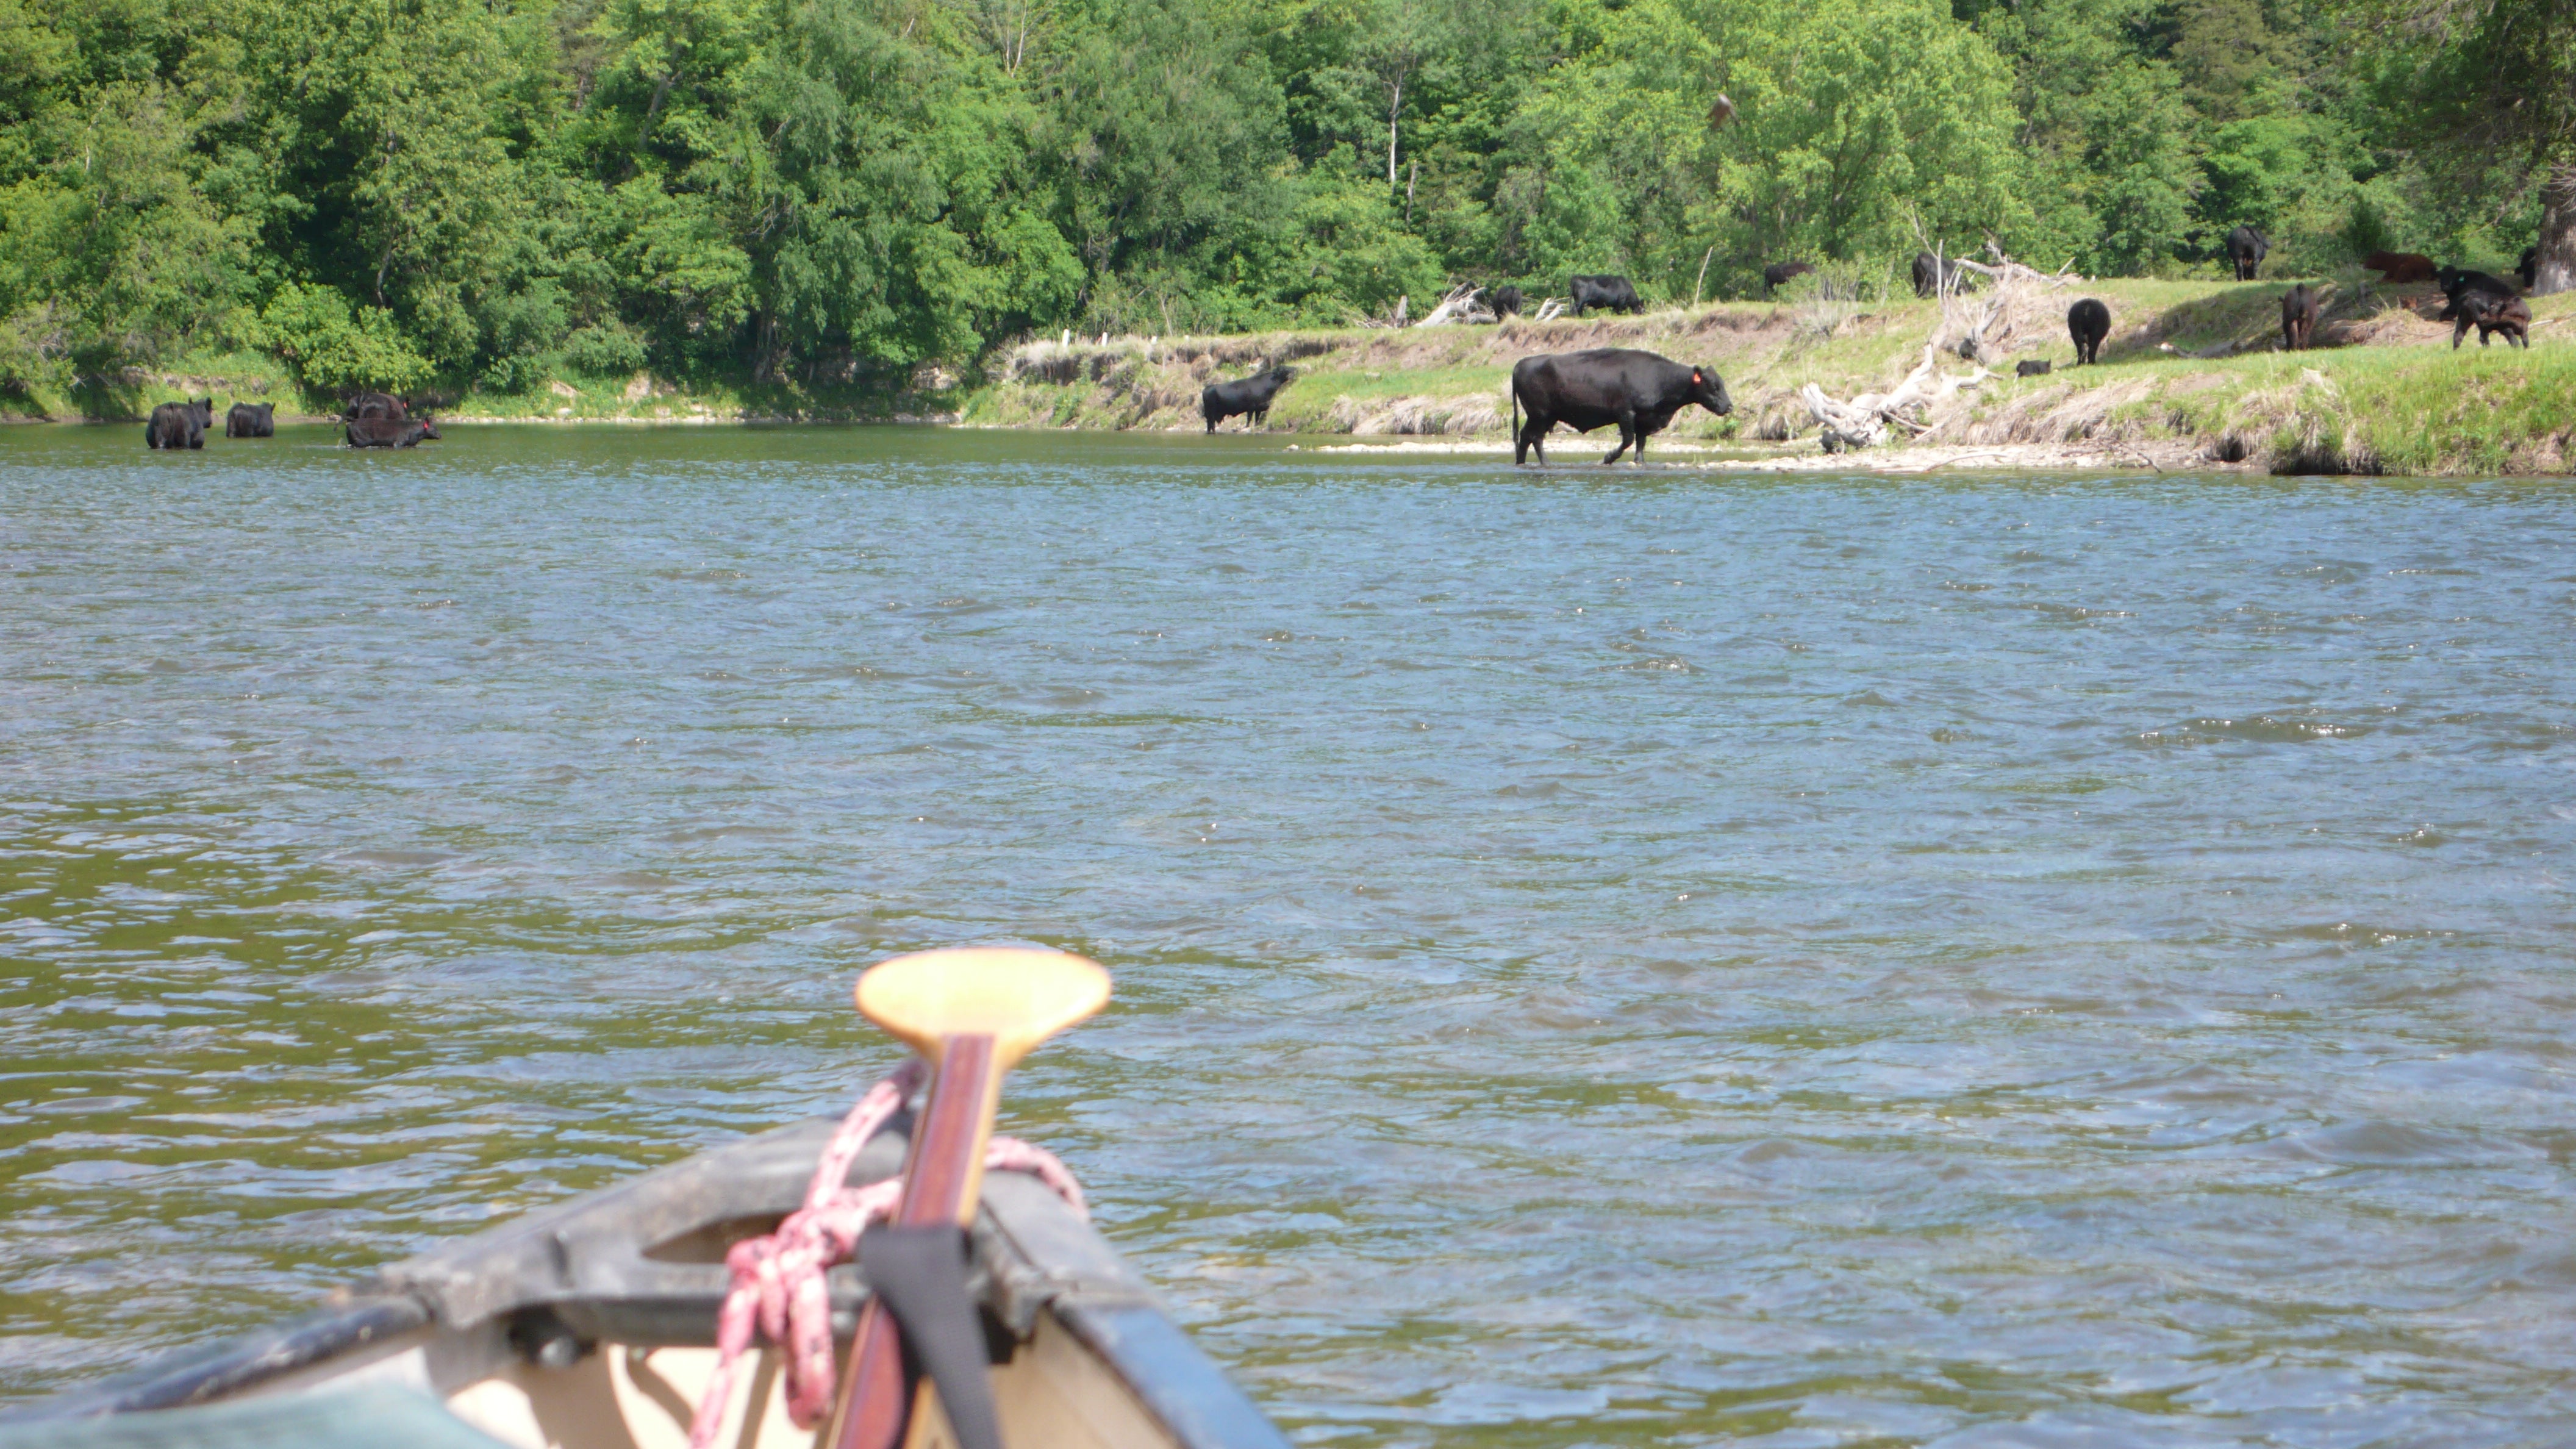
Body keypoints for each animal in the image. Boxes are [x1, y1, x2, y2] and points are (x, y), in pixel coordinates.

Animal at [345, 412, 440, 446]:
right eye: (434, 428)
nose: (440, 435)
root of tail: (350, 422)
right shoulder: (398, 442)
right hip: (362, 440)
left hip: (351, 440)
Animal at [1200, 366, 1298, 428]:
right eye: (1285, 369)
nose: (1296, 369)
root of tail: (1207, 388)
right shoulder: (1251, 408)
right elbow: (1249, 420)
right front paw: (1247, 427)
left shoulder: (1259, 408)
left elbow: (1256, 419)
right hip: (1210, 414)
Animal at [1504, 345, 1731, 461]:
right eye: (1714, 386)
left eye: (1722, 383)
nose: (1729, 406)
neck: (1659, 377)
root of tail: (1521, 363)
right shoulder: (1626, 414)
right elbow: (1628, 441)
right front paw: (1607, 457)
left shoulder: (1644, 421)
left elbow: (1640, 445)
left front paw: (1639, 462)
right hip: (1540, 415)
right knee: (1534, 438)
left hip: (1545, 417)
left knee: (1527, 438)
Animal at [1556, 273, 1638, 315]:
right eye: (1641, 307)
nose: (1640, 313)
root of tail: (1576, 277)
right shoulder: (1621, 302)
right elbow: (1618, 311)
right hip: (1579, 301)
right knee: (1575, 309)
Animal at [2452, 290, 2535, 350]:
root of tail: (2469, 296)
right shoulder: (2504, 326)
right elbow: (2513, 338)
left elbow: (2524, 339)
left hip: (2465, 319)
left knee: (2459, 335)